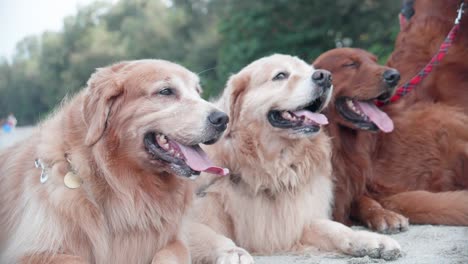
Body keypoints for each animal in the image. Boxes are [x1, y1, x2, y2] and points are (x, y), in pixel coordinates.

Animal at [0, 59, 230, 264]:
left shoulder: (173, 242)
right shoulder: (35, 251)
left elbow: (168, 255)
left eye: (198, 92)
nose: (223, 119)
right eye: (166, 91)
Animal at [187, 53, 402, 262]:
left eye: (311, 70)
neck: (269, 170)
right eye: (280, 75)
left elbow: (334, 228)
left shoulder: (294, 223)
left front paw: (368, 239)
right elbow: (213, 237)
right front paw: (235, 253)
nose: (325, 77)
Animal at [312, 47, 468, 233]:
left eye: (374, 61)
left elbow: (364, 201)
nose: (394, 76)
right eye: (350, 64)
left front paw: (383, 214)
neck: (338, 145)